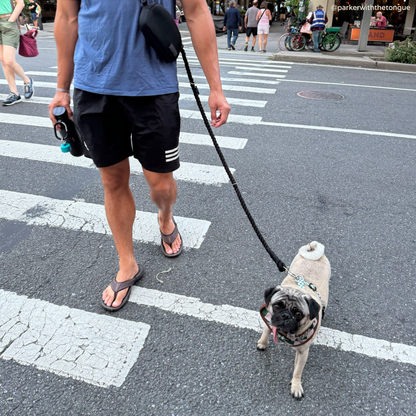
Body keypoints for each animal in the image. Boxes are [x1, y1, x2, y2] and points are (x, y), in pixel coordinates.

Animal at [256, 242, 332, 398]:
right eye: (277, 306)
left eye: (298, 314)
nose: (285, 315)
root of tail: (313, 248)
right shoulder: (269, 319)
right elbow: (266, 331)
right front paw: (262, 343)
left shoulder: (303, 352)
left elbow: (298, 370)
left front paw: (296, 385)